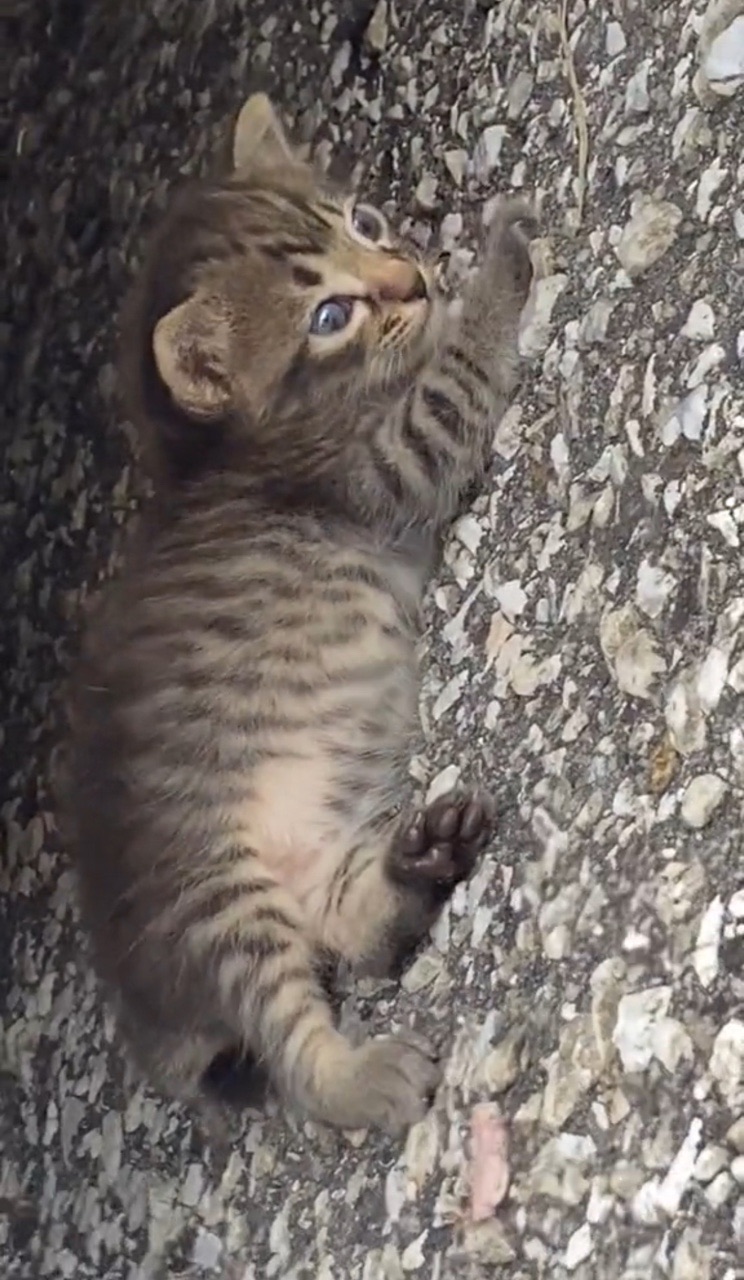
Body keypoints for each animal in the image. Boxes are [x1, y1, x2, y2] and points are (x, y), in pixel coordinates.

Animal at [57, 94, 532, 1136]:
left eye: (365, 221)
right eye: (328, 317)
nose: (411, 276)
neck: (214, 459)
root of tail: (146, 1022)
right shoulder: (388, 461)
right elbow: (458, 373)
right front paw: (502, 262)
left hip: (318, 863)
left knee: (355, 932)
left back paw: (423, 859)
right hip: (221, 906)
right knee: (296, 1050)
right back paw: (366, 1079)